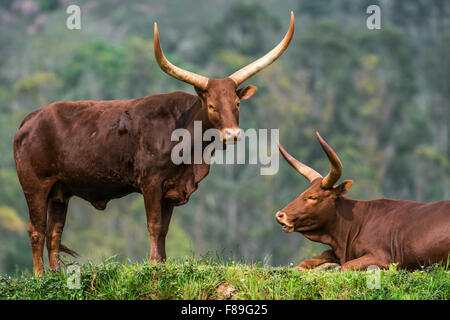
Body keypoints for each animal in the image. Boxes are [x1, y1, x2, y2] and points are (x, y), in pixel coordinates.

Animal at [14, 11, 294, 272]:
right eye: (212, 105)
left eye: (236, 103)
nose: (233, 134)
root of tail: (30, 119)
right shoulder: (150, 182)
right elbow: (154, 224)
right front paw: (153, 264)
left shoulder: (172, 187)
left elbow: (164, 230)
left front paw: (162, 263)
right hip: (35, 186)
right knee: (36, 230)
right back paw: (40, 277)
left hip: (60, 191)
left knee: (54, 232)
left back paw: (56, 275)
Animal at [274, 132, 450, 270]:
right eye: (303, 193)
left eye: (313, 197)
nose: (280, 215)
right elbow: (306, 262)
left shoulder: (382, 258)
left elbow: (344, 266)